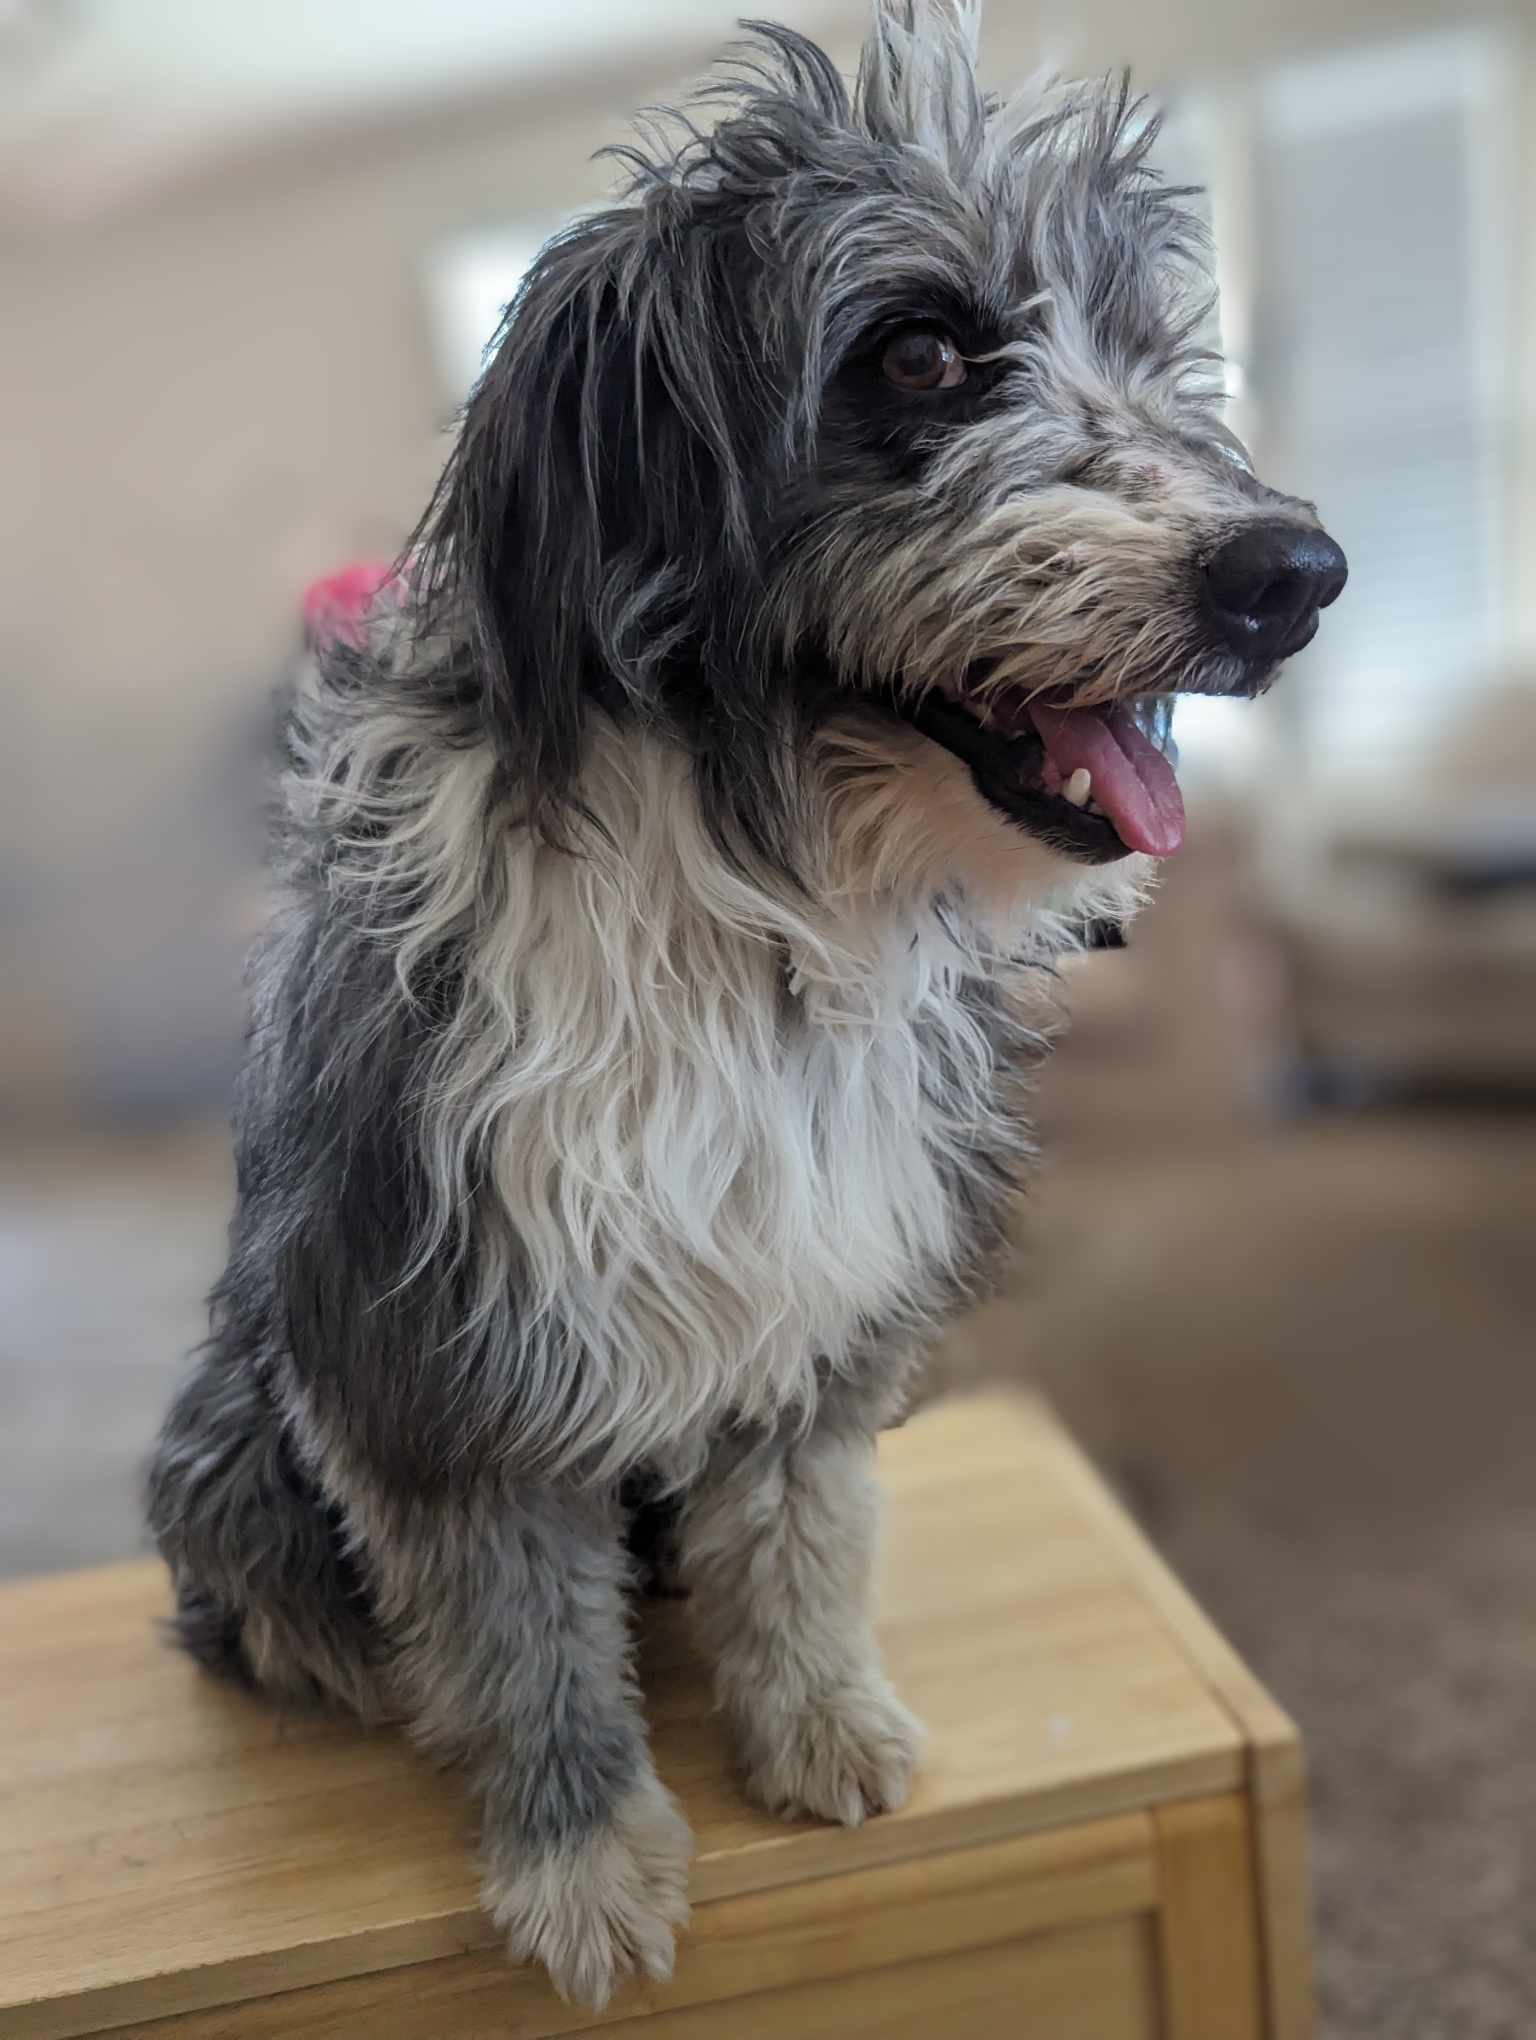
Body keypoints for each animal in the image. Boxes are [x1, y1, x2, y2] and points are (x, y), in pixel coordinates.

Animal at [143, 0, 1338, 2007]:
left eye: (1154, 350)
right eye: (921, 351)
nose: (1296, 577)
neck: (746, 883)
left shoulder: (814, 1293)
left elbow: (799, 1535)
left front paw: (823, 1730)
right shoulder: (436, 1344)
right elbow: (521, 1636)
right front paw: (584, 1864)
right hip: (237, 1452)